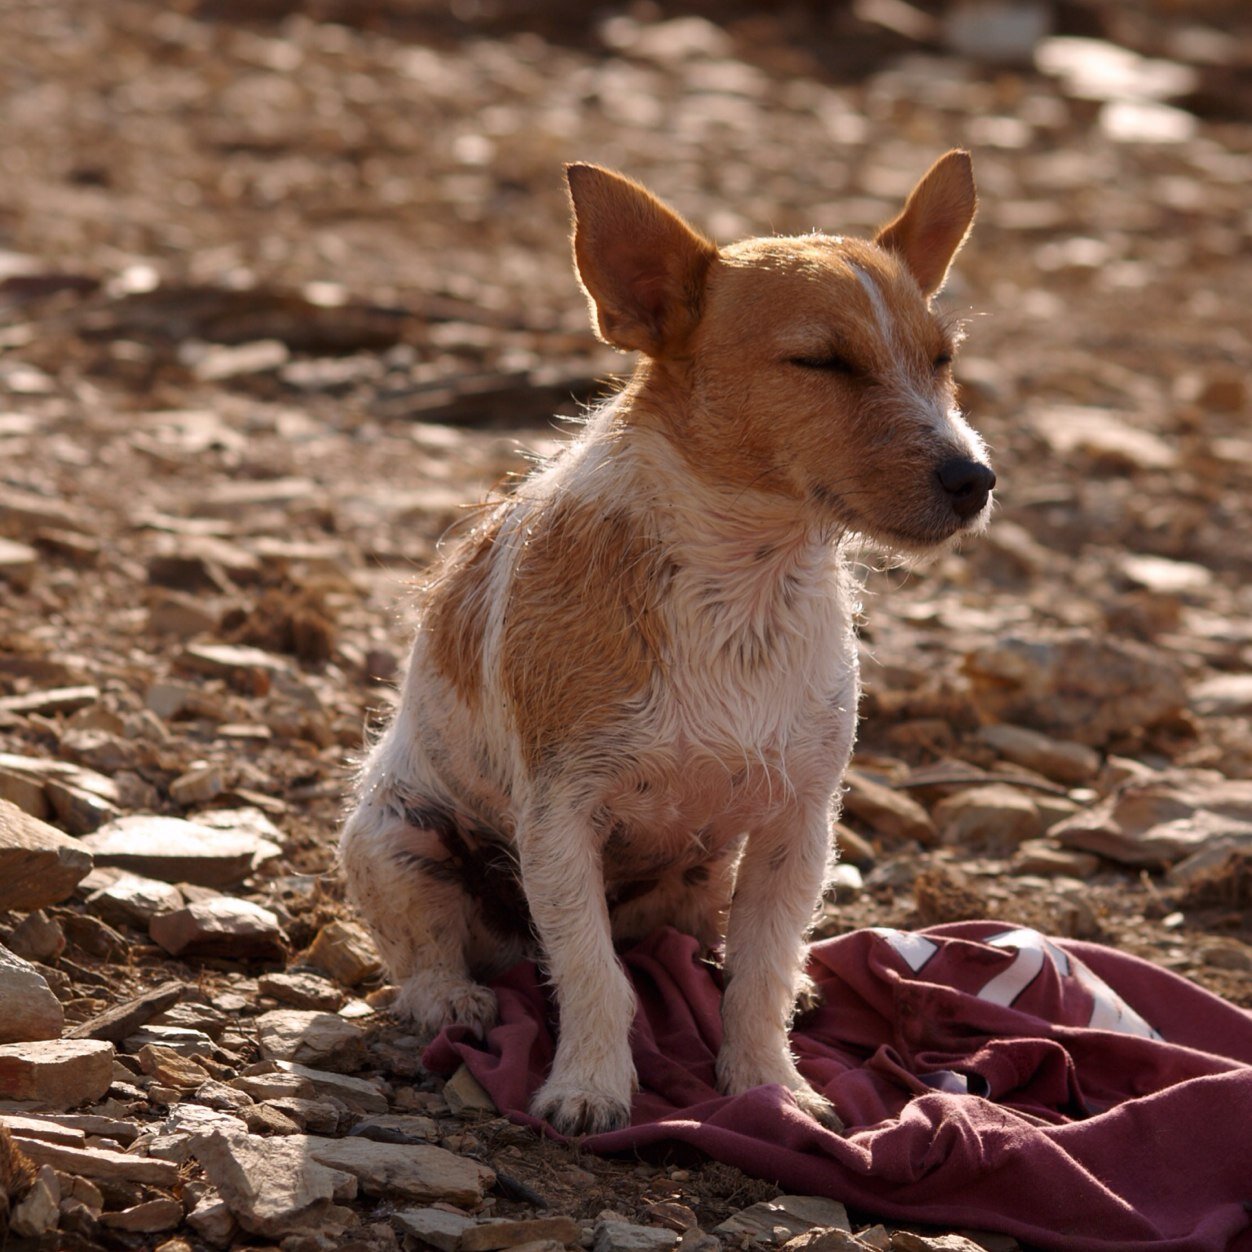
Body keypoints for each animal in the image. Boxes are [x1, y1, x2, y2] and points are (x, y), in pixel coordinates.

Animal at [338, 151, 991, 1141]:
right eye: (821, 361)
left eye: (943, 360)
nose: (975, 478)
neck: (743, 588)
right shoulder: (561, 818)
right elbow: (592, 972)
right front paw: (590, 1086)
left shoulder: (798, 825)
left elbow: (758, 975)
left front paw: (770, 1084)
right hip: (395, 838)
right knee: (434, 950)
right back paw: (450, 998)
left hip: (709, 874)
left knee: (716, 944)